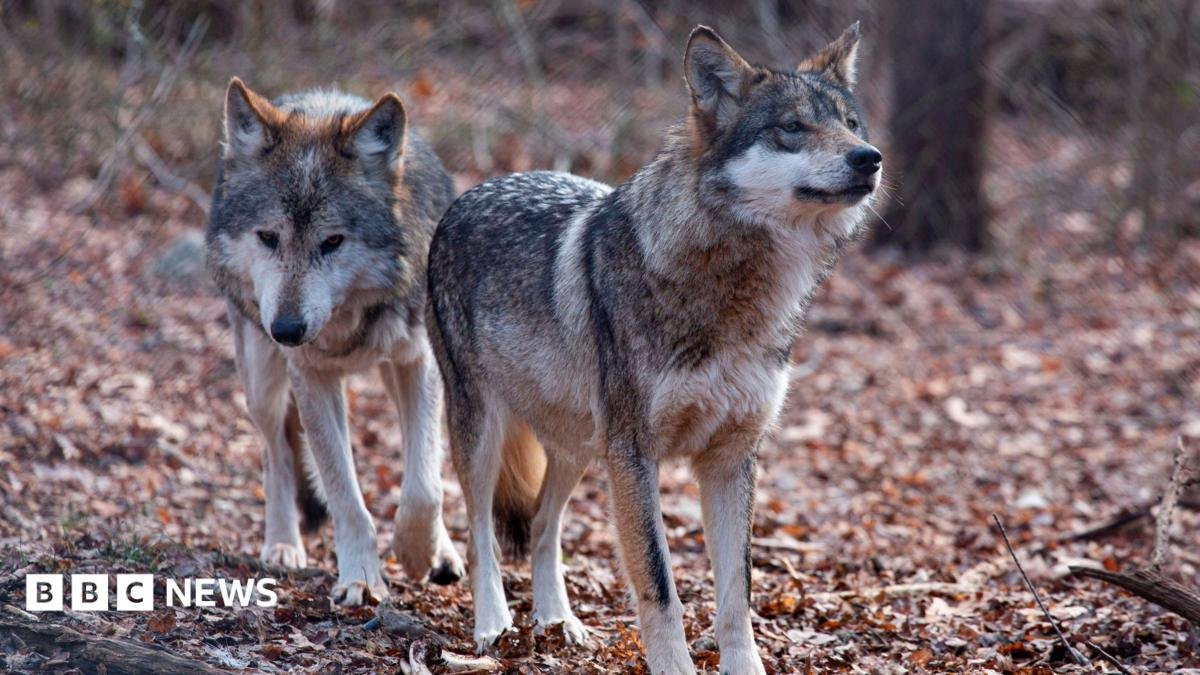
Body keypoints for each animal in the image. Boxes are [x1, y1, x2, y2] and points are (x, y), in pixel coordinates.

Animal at [206, 78, 465, 606]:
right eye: (268, 237)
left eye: (332, 242)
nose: (286, 330)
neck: (347, 321)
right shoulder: (311, 376)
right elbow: (345, 494)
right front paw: (362, 577)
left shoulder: (419, 362)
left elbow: (424, 486)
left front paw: (416, 553)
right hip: (262, 381)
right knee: (277, 456)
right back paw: (283, 544)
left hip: (394, 373)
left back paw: (443, 552)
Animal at [426, 24, 880, 674]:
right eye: (792, 127)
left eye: (851, 124)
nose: (870, 158)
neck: (734, 293)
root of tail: (471, 191)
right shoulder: (637, 455)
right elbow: (660, 586)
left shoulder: (731, 458)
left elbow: (737, 594)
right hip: (487, 433)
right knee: (480, 534)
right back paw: (494, 627)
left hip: (580, 447)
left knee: (541, 526)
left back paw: (557, 621)